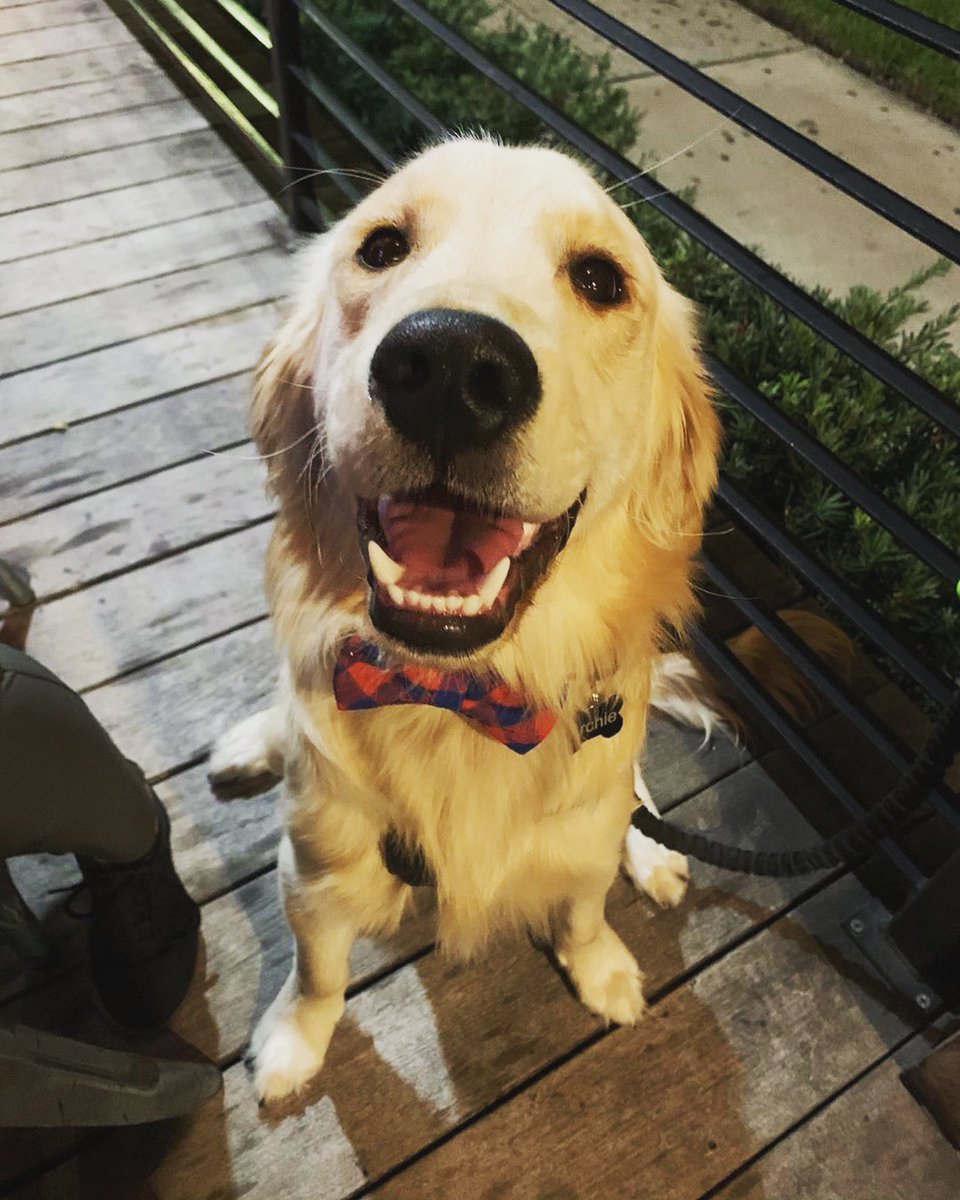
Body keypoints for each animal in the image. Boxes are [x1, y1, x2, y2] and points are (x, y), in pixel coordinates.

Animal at [210, 136, 720, 1099]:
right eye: (381, 246)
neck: (463, 698)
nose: (449, 366)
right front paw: (293, 1044)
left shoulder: (580, 832)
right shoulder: (317, 861)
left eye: (600, 278)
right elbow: (317, 969)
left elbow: (584, 904)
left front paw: (602, 969)